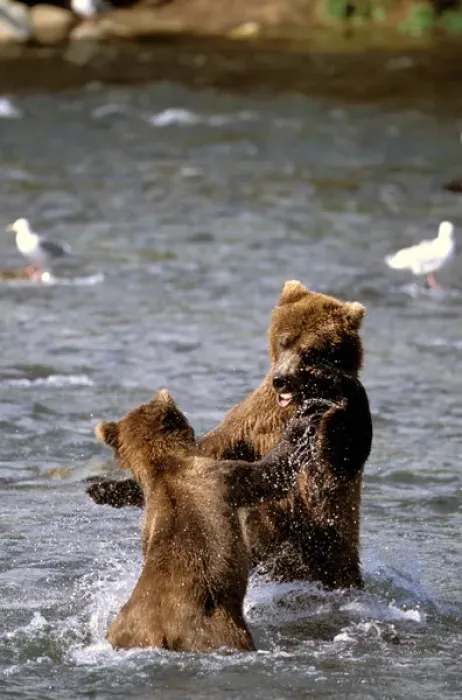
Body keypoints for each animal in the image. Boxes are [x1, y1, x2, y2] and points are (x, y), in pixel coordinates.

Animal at [87, 280, 372, 590]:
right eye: (284, 341)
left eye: (309, 351)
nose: (281, 379)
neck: (295, 402)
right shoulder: (255, 419)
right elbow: (213, 450)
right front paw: (106, 488)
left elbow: (338, 459)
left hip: (333, 551)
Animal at [93, 388, 307, 653]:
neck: (163, 466)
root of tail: (159, 632)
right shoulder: (218, 476)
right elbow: (265, 475)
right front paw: (300, 426)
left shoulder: (149, 517)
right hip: (214, 627)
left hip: (126, 631)